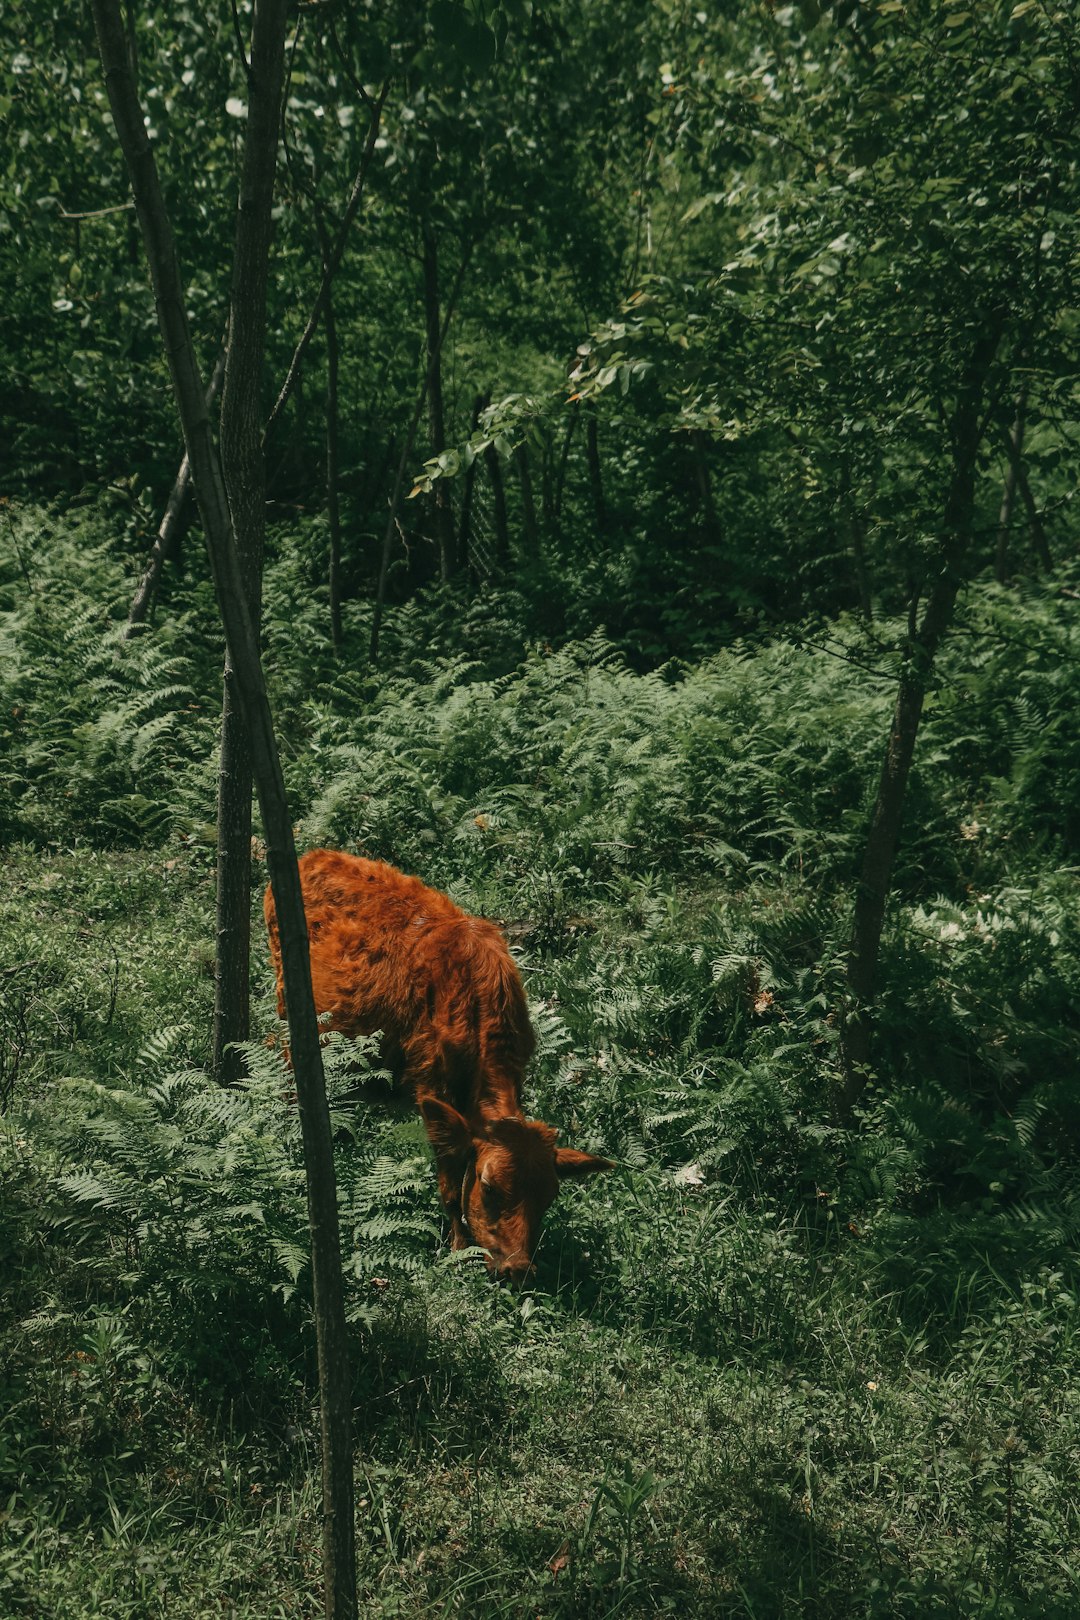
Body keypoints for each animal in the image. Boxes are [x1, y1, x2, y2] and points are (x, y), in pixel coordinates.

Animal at [265, 848, 612, 1276]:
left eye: (548, 1197)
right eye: (489, 1187)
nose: (518, 1268)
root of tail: (315, 855)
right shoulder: (432, 1085)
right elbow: (448, 1182)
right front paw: (456, 1250)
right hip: (288, 1005)